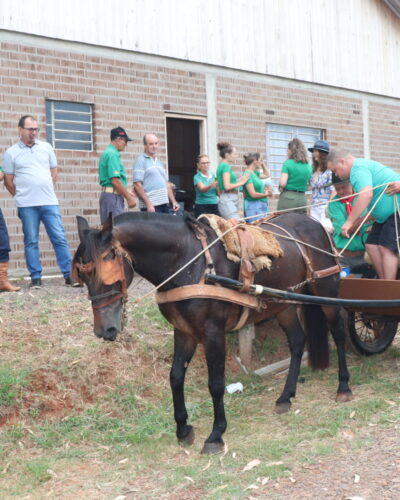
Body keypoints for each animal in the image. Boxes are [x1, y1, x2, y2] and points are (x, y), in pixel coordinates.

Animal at [73, 213, 352, 456]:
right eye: (82, 275)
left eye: (106, 263)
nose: (104, 330)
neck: (189, 263)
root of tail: (315, 222)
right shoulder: (184, 331)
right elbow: (175, 377)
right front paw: (183, 429)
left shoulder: (213, 332)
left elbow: (216, 384)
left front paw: (216, 434)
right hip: (283, 304)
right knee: (296, 342)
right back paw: (285, 397)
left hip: (325, 290)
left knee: (339, 334)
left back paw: (344, 387)